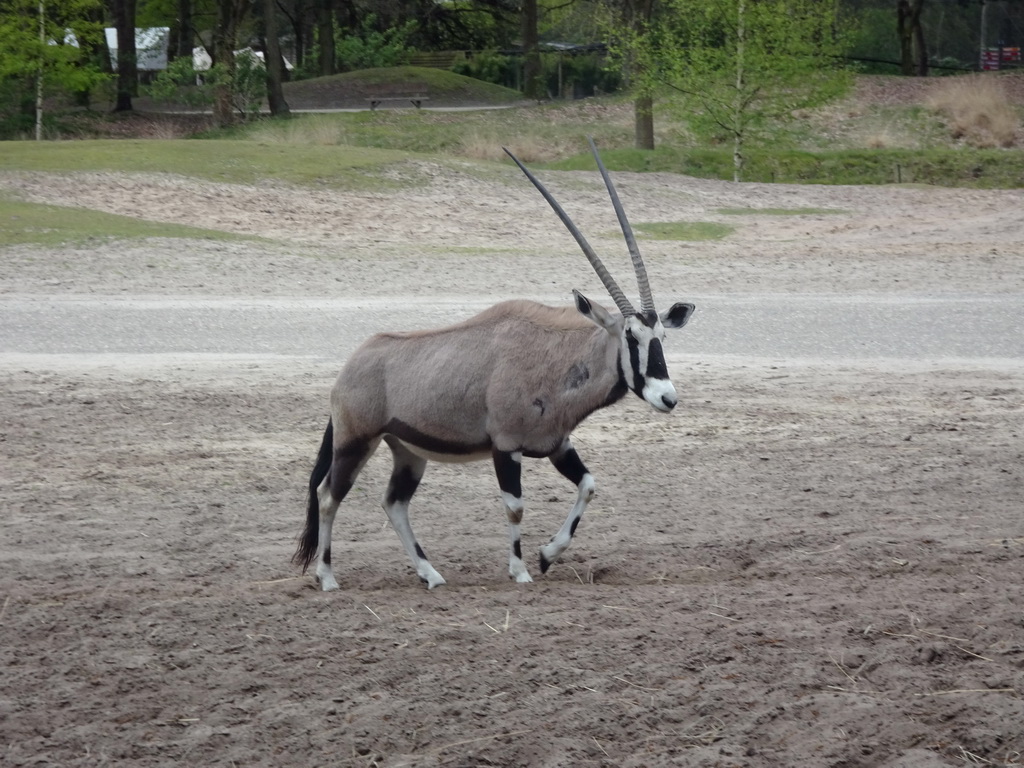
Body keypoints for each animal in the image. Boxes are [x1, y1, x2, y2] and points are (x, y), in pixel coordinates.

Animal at [294, 141, 696, 593]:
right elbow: (515, 507)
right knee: (329, 495)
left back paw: (431, 574)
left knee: (393, 502)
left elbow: (589, 486)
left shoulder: (557, 444)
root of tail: (351, 365)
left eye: (661, 335)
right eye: (630, 337)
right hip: (356, 442)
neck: (556, 358)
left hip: (407, 451)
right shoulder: (506, 447)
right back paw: (327, 577)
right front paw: (520, 569)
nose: (667, 397)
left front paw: (546, 555)